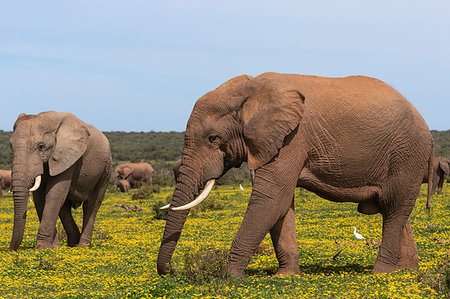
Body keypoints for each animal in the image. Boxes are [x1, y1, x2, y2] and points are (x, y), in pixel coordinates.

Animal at [8, 110, 111, 251]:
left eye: (41, 147)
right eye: (11, 146)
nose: (11, 250)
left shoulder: (67, 156)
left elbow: (54, 194)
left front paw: (42, 248)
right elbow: (40, 198)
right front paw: (53, 248)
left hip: (105, 170)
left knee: (92, 205)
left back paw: (82, 246)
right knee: (65, 208)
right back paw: (72, 244)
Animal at [157, 71, 432, 278]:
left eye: (213, 139)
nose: (171, 271)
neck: (251, 89)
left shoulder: (292, 139)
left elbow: (270, 200)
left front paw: (229, 277)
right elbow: (281, 205)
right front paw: (285, 277)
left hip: (407, 152)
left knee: (394, 208)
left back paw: (380, 274)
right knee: (396, 209)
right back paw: (405, 271)